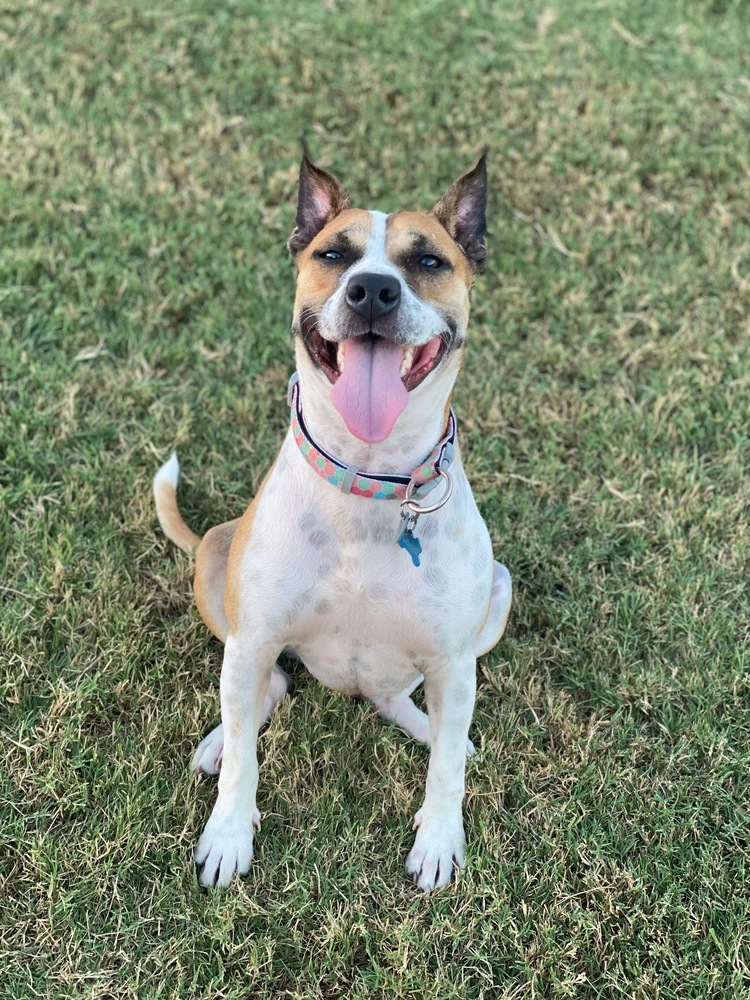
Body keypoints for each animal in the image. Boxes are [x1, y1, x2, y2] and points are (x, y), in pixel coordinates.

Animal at [155, 154, 516, 892]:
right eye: (333, 254)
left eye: (429, 260)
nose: (372, 290)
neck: (371, 483)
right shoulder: (254, 637)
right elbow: (246, 757)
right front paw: (227, 835)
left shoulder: (454, 658)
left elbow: (446, 772)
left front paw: (439, 841)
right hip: (219, 561)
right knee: (268, 688)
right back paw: (219, 740)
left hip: (498, 590)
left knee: (403, 703)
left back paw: (428, 726)